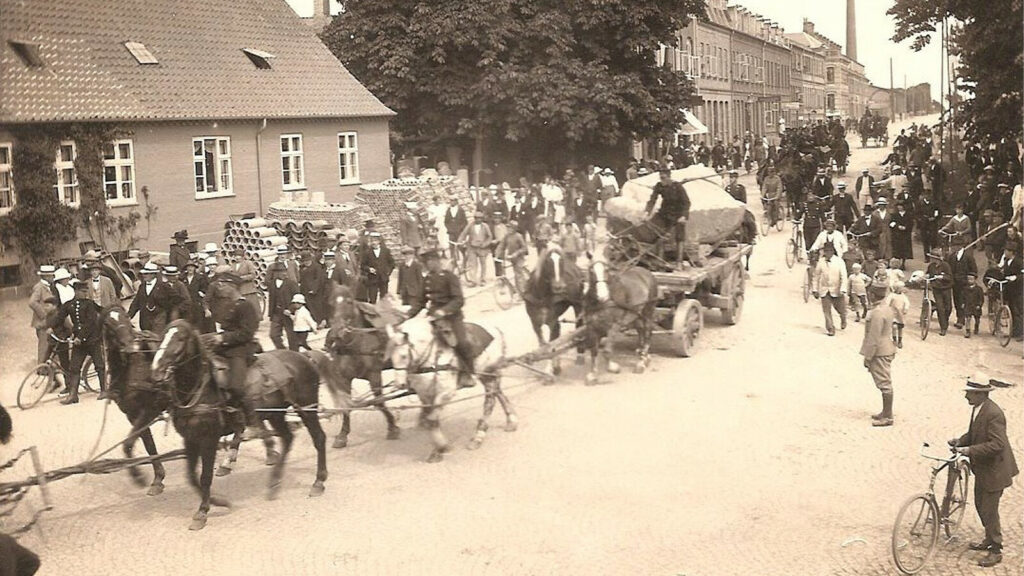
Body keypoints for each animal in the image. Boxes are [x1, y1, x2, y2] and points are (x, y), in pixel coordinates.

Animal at [387, 313, 524, 461]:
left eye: (403, 356)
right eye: (390, 358)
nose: (400, 384)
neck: (431, 360)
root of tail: (495, 329)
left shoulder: (446, 392)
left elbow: (431, 420)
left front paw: (442, 446)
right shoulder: (425, 395)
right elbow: (431, 420)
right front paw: (437, 450)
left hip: (488, 374)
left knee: (489, 402)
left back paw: (478, 437)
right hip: (488, 374)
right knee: (498, 392)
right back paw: (511, 421)